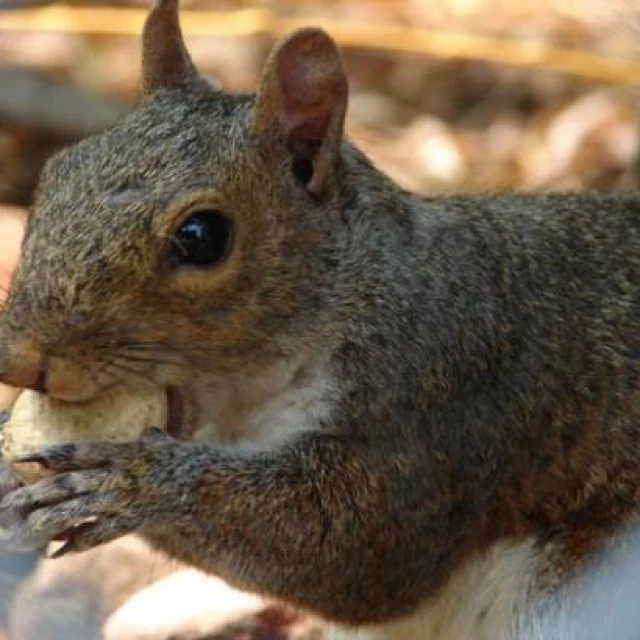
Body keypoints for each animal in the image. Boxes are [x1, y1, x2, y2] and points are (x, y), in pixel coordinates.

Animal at [0, 1, 636, 640]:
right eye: (57, 172)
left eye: (202, 237)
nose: (22, 360)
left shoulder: (442, 394)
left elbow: (352, 548)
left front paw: (134, 482)